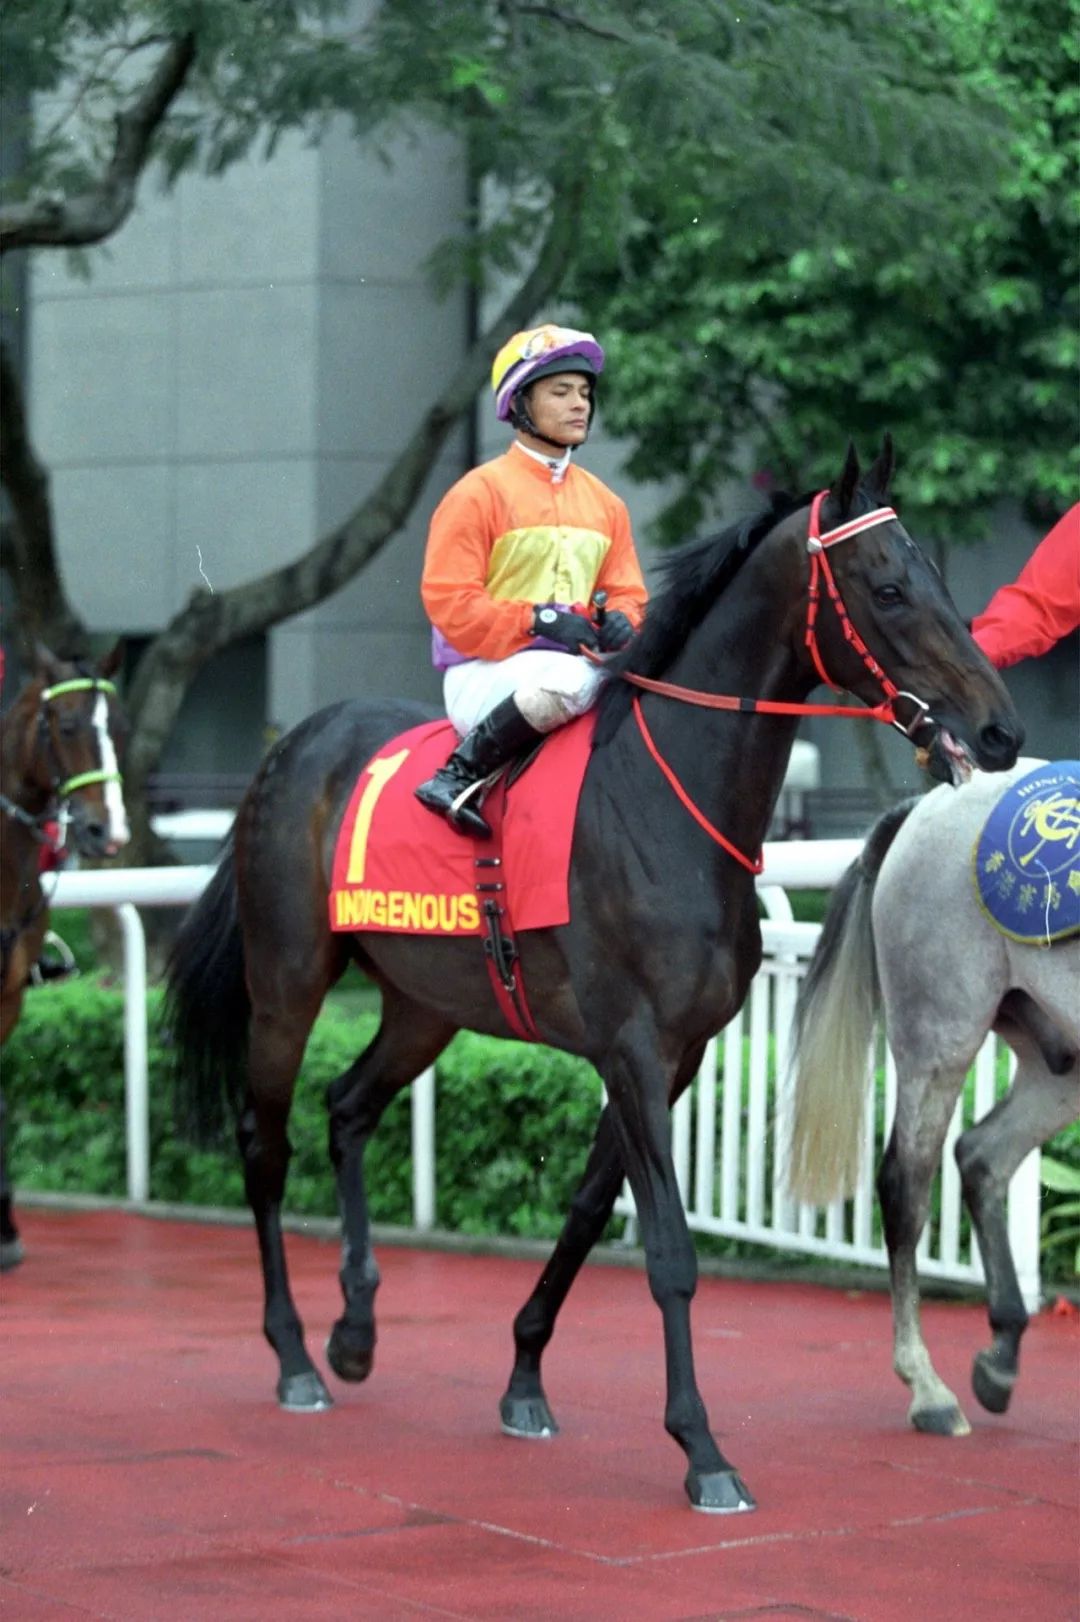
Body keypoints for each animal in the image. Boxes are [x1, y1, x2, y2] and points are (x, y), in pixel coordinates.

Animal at [165, 439, 1022, 1513]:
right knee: (264, 1142)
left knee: (349, 1106)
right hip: (287, 981)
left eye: (940, 576)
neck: (669, 799)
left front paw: (525, 1381)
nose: (999, 732)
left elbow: (584, 1213)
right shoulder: (632, 1046)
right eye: (891, 588)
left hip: (424, 1003)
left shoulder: (677, 1054)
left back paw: (355, 1332)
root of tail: (291, 747)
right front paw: (701, 1447)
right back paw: (292, 1357)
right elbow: (669, 1252)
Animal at [788, 761, 1079, 1438]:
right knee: (906, 1184)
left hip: (1058, 1057)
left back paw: (1000, 1355)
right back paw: (928, 1388)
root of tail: (927, 803)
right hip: (939, 1030)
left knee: (983, 1156)